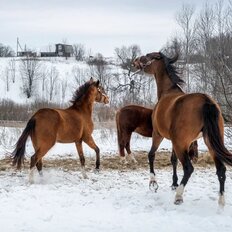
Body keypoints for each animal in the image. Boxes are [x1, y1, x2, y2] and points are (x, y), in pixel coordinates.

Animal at [133, 52, 232, 205]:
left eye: (147, 56)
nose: (135, 61)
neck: (167, 92)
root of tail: (206, 101)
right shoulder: (173, 140)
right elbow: (173, 160)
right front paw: (174, 183)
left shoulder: (158, 134)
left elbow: (151, 155)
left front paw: (153, 183)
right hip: (210, 142)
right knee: (221, 170)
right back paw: (221, 201)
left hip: (182, 144)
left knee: (188, 168)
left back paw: (179, 196)